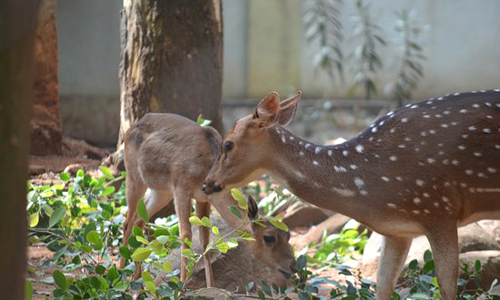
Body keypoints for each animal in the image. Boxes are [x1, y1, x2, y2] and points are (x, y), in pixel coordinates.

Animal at [122, 113, 296, 288]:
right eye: (269, 237)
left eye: (288, 234)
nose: (292, 266)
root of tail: (132, 126)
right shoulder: (181, 187)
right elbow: (185, 234)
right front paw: (182, 284)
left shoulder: (203, 198)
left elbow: (205, 240)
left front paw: (211, 285)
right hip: (134, 177)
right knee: (127, 221)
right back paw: (122, 271)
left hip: (161, 191)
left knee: (139, 219)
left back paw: (137, 277)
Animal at [203, 89, 500, 300]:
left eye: (227, 144)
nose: (207, 184)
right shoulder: (398, 230)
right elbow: (382, 288)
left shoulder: (440, 210)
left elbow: (447, 288)